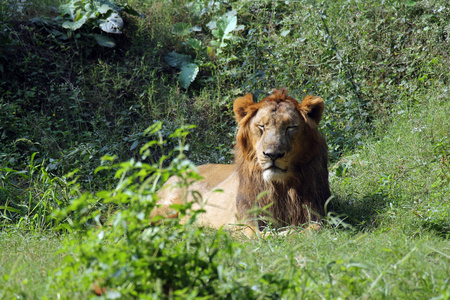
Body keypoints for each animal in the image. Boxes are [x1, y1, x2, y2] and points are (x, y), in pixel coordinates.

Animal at [153, 88, 332, 236]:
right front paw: (277, 234)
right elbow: (258, 235)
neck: (280, 186)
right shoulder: (245, 220)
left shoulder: (315, 212)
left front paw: (289, 232)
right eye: (261, 126)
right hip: (165, 208)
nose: (272, 155)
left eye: (290, 127)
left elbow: (314, 229)